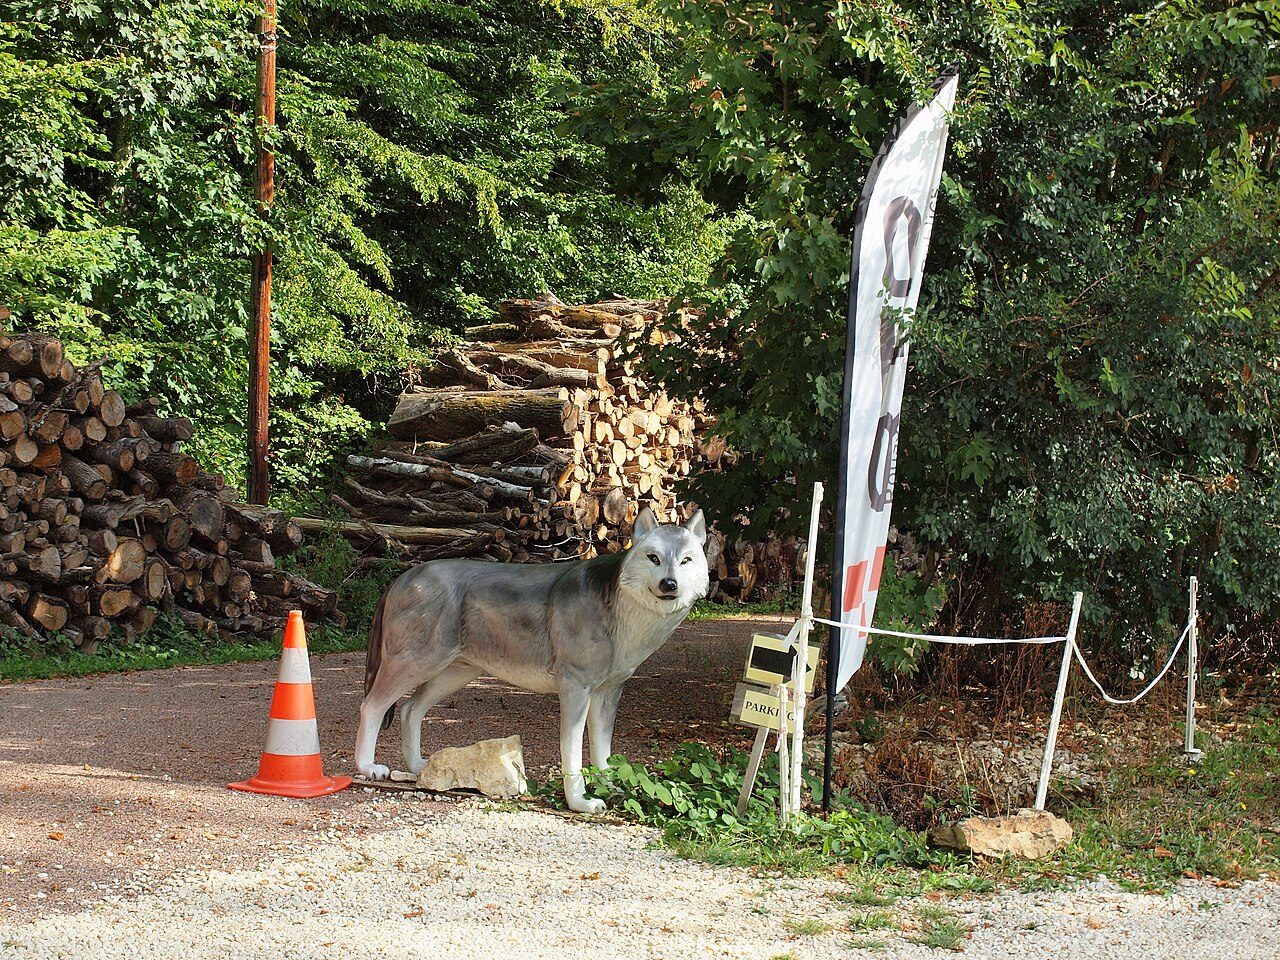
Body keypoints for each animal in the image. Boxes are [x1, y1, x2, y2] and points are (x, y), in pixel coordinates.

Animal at [355, 507, 710, 813]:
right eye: (654, 558)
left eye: (686, 560)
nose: (669, 584)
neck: (621, 611)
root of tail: (402, 577)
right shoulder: (575, 688)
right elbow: (572, 752)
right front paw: (580, 803)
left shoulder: (608, 692)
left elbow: (603, 751)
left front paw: (611, 788)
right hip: (415, 663)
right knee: (372, 706)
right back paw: (368, 767)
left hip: (452, 673)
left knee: (409, 709)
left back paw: (419, 766)